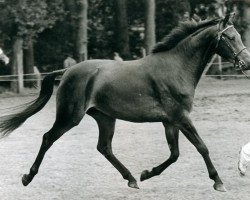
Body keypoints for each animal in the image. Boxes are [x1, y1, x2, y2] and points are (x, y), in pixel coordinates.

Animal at [0, 13, 250, 191]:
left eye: (238, 36)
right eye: (230, 37)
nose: (246, 63)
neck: (175, 68)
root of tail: (68, 70)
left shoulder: (170, 121)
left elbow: (174, 154)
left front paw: (147, 174)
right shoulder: (181, 117)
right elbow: (202, 147)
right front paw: (218, 182)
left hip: (105, 118)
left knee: (104, 147)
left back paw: (131, 178)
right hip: (70, 116)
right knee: (47, 138)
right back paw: (27, 177)